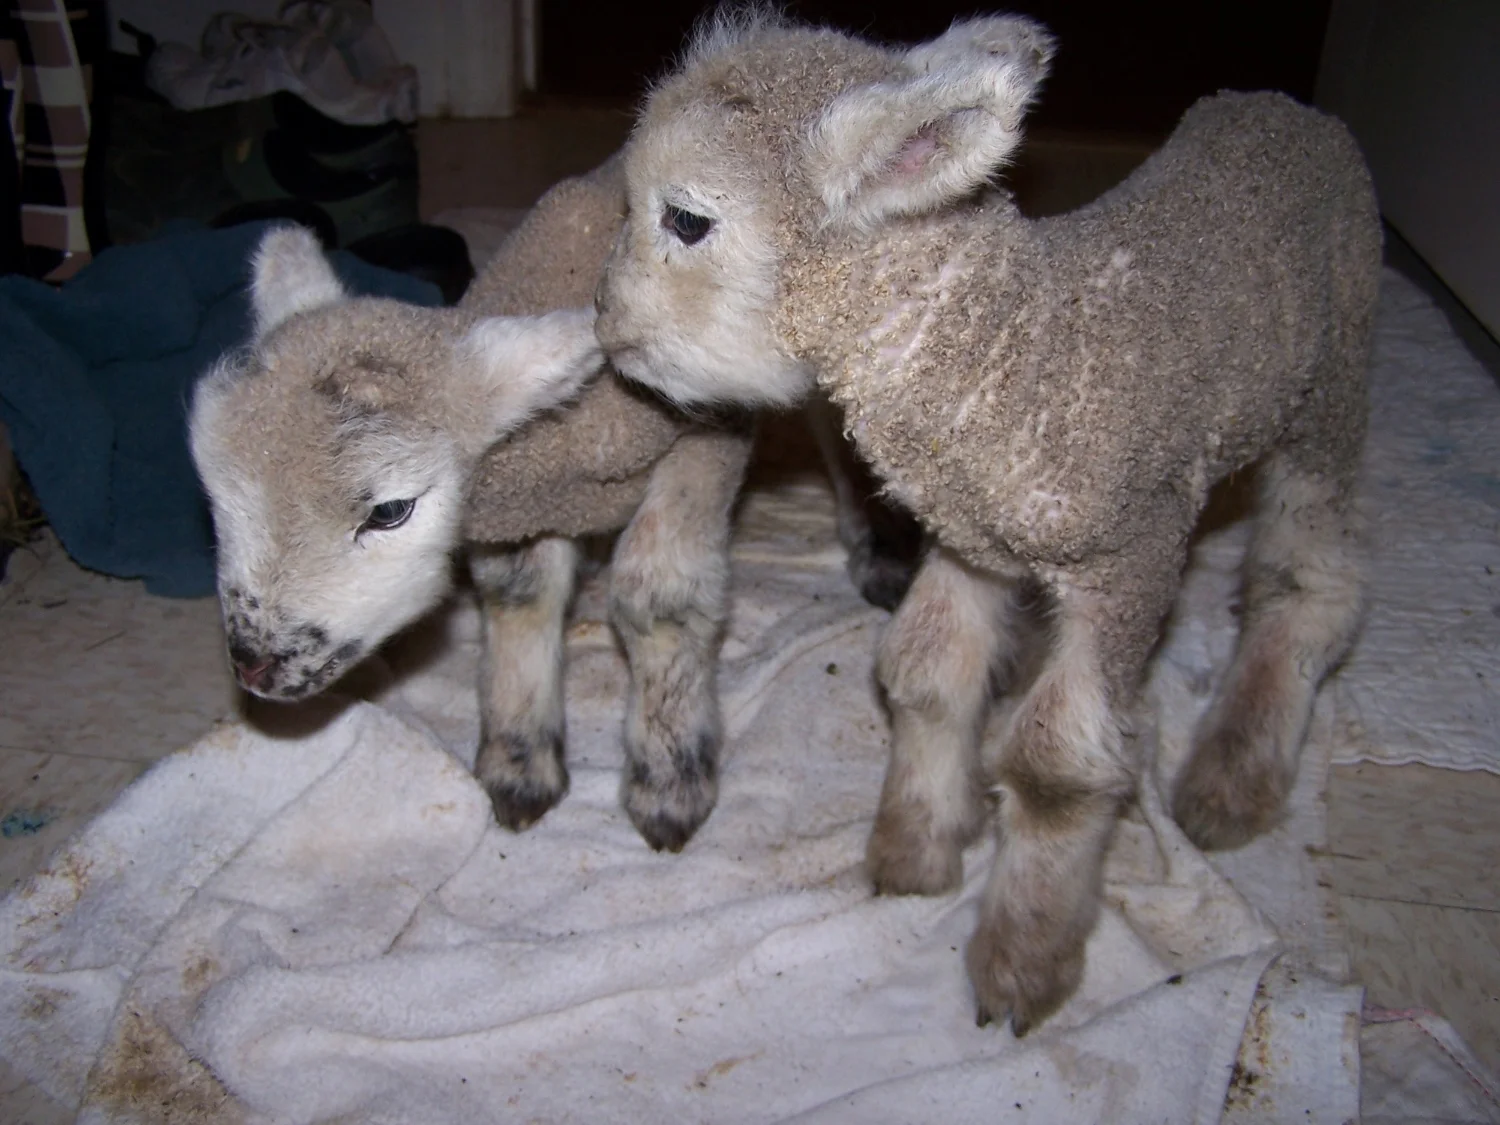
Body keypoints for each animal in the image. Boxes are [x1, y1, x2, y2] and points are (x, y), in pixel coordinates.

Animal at [594, 10, 1382, 1030]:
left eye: (687, 218)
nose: (602, 322)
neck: (1011, 351)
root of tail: (1296, 112)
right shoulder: (974, 541)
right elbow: (926, 672)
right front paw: (917, 851)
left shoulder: (1131, 558)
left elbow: (1058, 762)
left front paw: (1021, 961)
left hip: (1330, 393)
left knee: (1312, 580)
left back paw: (1230, 783)